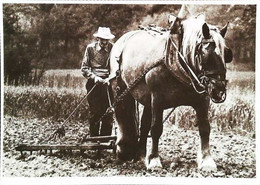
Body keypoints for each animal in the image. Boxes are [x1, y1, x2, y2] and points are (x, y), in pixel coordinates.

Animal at [109, 5, 234, 171]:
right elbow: (156, 129)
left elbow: (205, 128)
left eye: (227, 54)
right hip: (122, 90)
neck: (178, 62)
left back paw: (141, 156)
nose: (219, 90)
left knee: (144, 126)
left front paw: (207, 161)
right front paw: (155, 160)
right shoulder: (158, 100)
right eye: (205, 53)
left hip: (148, 100)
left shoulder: (203, 100)